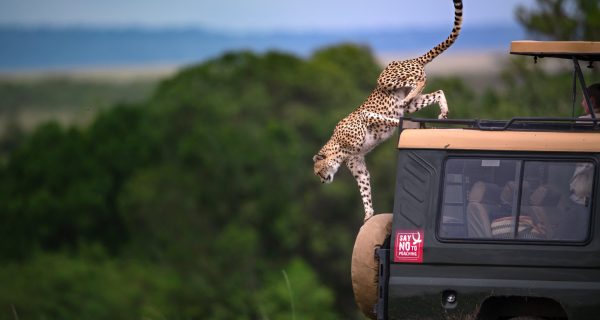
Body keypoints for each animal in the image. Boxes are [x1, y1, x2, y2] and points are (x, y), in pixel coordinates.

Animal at [314, 0, 464, 222]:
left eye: (318, 172)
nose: (323, 181)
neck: (338, 148)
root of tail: (409, 59)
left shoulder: (366, 118)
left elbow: (387, 119)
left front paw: (402, 124)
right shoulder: (358, 166)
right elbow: (365, 190)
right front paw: (368, 215)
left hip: (387, 78)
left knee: (421, 80)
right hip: (411, 100)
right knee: (437, 92)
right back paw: (443, 112)